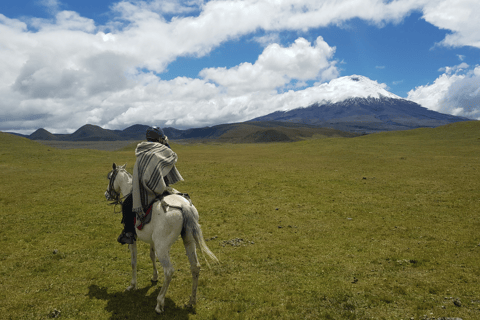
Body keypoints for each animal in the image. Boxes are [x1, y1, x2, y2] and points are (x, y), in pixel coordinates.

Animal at [105, 164, 219, 314]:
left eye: (110, 177)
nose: (107, 194)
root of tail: (184, 207)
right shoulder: (153, 242)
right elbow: (151, 256)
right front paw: (154, 277)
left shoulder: (134, 240)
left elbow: (134, 262)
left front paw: (132, 285)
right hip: (187, 240)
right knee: (195, 267)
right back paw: (191, 301)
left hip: (162, 246)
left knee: (169, 271)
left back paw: (159, 303)